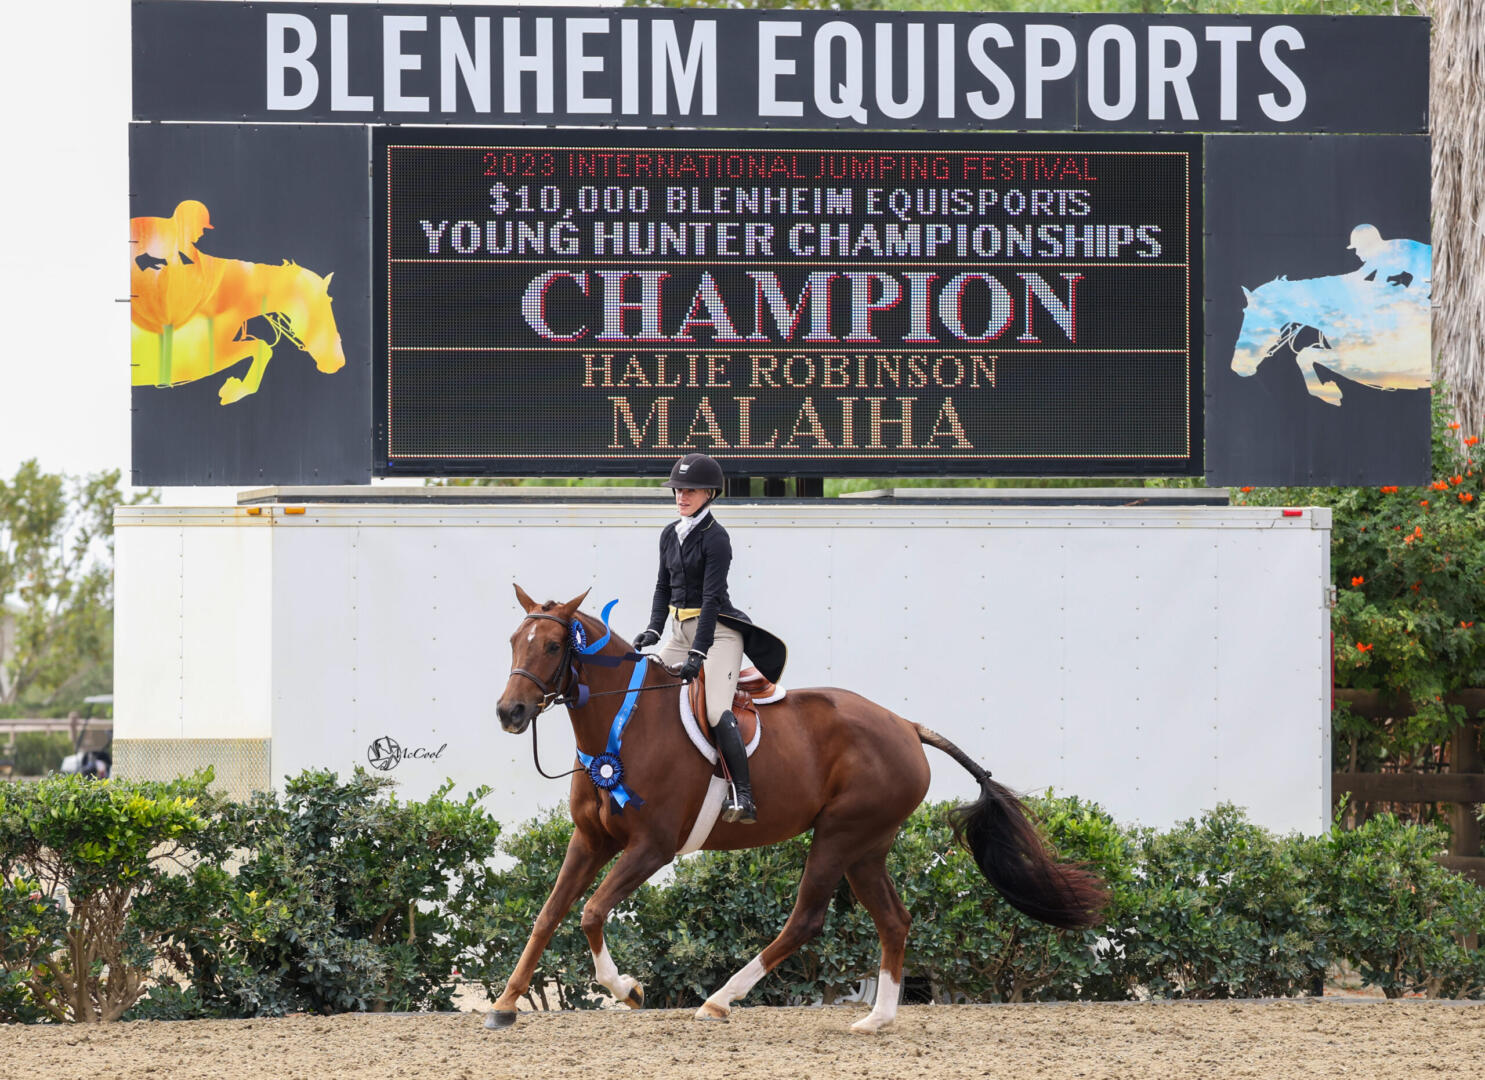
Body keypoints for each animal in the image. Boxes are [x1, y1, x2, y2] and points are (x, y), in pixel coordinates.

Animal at [130, 254, 344, 404]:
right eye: (318, 307)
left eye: (331, 301)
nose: (337, 363)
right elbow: (261, 348)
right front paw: (234, 390)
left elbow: (261, 348)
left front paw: (234, 389)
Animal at [493, 588, 1110, 1033]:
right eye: (513, 642)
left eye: (553, 647)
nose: (509, 712)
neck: (623, 724)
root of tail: (905, 725)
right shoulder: (591, 840)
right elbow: (549, 914)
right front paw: (504, 1004)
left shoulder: (652, 847)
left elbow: (591, 912)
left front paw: (629, 990)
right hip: (866, 848)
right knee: (894, 919)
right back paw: (877, 1019)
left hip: (838, 835)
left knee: (806, 919)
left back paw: (721, 1000)